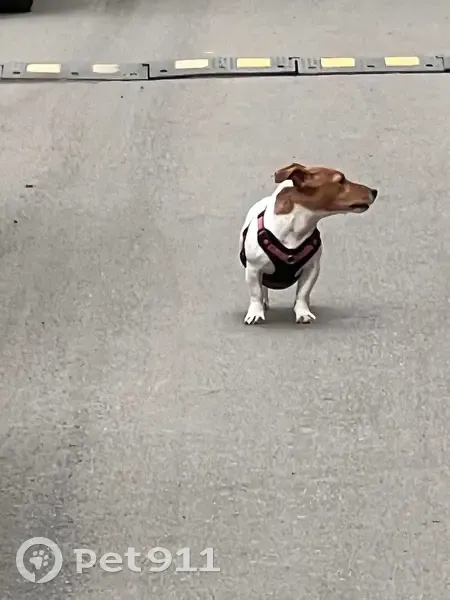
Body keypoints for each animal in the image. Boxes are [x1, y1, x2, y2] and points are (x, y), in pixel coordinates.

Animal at [239, 163, 378, 325]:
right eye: (340, 180)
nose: (374, 191)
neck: (295, 226)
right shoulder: (254, 269)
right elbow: (256, 294)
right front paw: (256, 312)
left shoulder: (311, 268)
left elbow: (303, 293)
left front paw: (303, 312)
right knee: (263, 288)